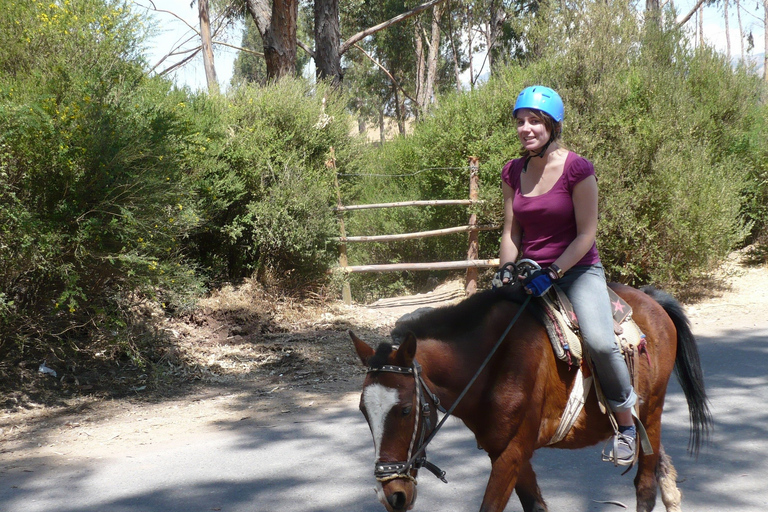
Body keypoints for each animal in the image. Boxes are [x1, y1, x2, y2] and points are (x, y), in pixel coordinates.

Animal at [352, 284, 712, 512]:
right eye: (364, 412)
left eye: (405, 410)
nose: (392, 495)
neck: (493, 360)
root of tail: (651, 300)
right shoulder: (505, 451)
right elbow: (536, 506)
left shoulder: (511, 452)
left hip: (652, 413)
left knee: (645, 487)